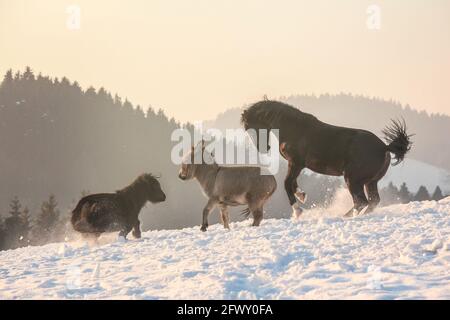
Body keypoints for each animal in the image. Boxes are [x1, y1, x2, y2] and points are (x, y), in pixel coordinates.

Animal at [241, 100, 414, 218]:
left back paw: (345, 217)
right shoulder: (296, 165)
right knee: (372, 201)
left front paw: (297, 211)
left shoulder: (296, 163)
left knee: (361, 201)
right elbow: (292, 183)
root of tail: (384, 147)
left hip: (353, 179)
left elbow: (287, 183)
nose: (264, 148)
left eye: (251, 127)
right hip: (370, 182)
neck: (294, 128)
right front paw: (302, 195)